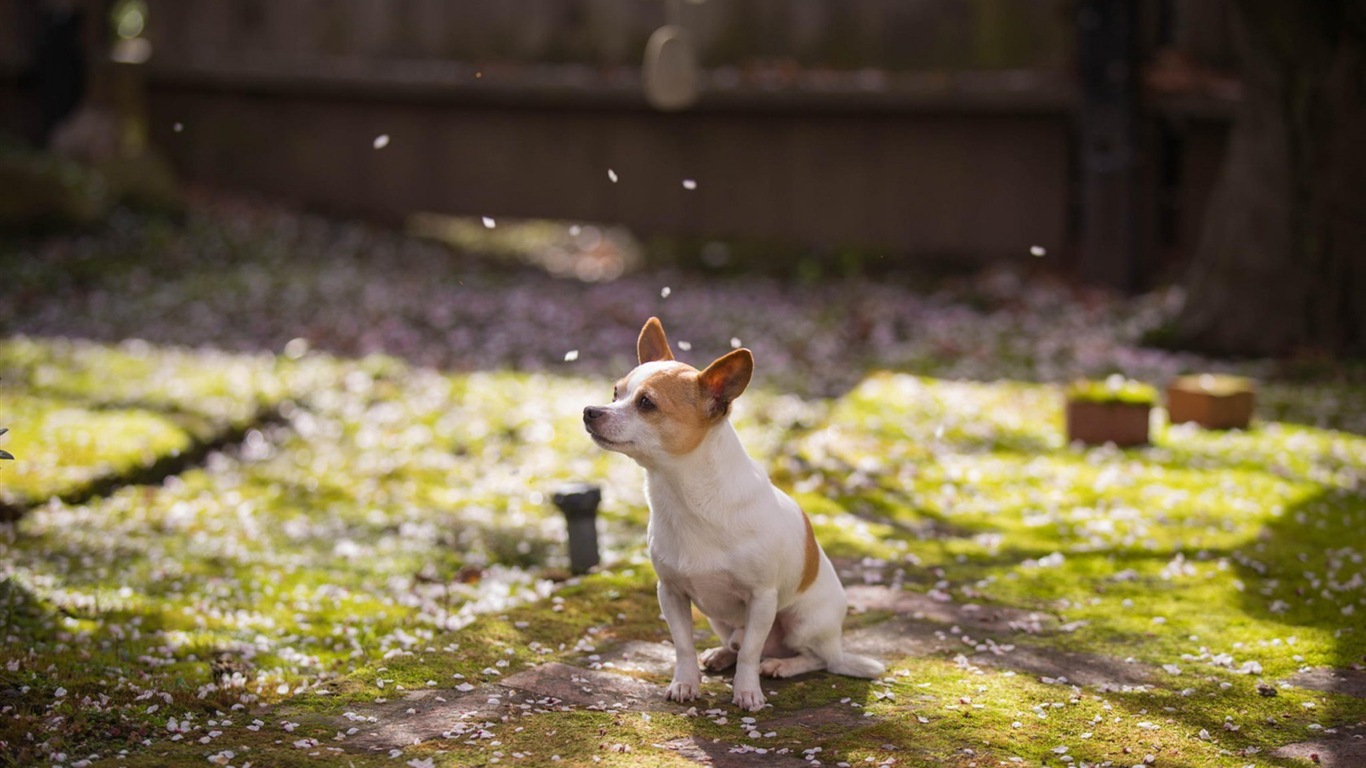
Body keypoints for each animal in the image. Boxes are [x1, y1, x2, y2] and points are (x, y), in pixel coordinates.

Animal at [579, 315, 879, 705]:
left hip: (802, 622)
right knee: (739, 641)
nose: (589, 411)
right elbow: (683, 645)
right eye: (615, 393)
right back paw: (722, 654)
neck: (686, 498)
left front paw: (747, 692)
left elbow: (751, 652)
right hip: (719, 620)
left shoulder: (762, 598)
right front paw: (685, 682)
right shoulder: (670, 593)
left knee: (813, 657)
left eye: (646, 403)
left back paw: (782, 665)